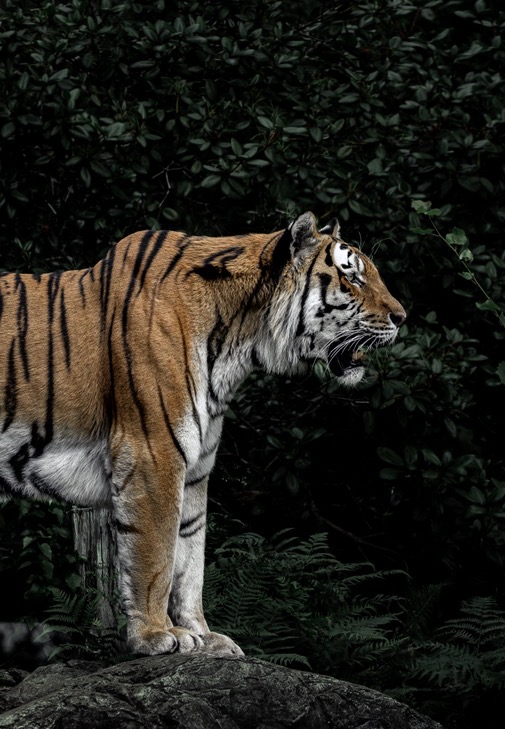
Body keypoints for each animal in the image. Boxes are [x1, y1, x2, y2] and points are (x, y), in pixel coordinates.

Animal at [0, 211, 406, 657]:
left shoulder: (195, 468)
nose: (402, 318)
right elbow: (156, 554)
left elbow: (190, 557)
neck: (237, 345)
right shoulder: (153, 454)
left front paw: (203, 635)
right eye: (352, 278)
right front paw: (155, 635)